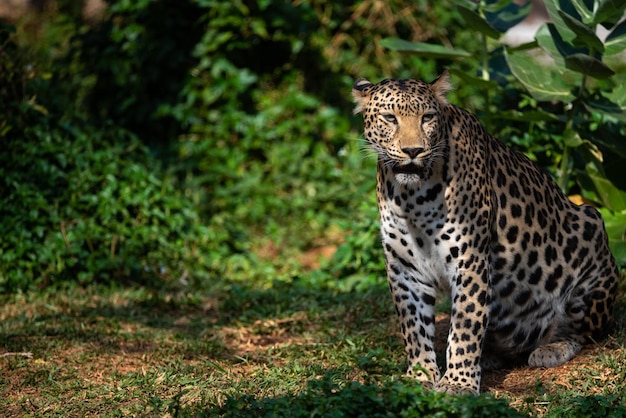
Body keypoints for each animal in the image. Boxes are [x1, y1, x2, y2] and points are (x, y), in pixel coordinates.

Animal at [352, 71, 620, 396]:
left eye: (427, 117)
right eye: (390, 118)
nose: (413, 151)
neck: (412, 197)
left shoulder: (469, 260)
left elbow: (465, 325)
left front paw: (458, 383)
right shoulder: (405, 268)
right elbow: (414, 327)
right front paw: (420, 375)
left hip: (591, 231)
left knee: (583, 332)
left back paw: (551, 348)